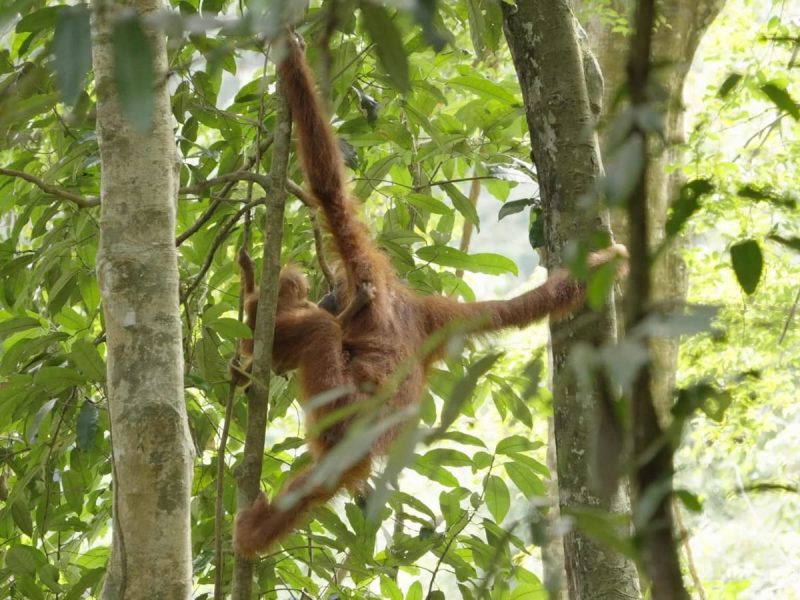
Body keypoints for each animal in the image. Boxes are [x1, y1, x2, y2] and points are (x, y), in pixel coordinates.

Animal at [233, 33, 629, 558]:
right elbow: (510, 309)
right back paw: (256, 528)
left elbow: (329, 188)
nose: (328, 301)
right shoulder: (438, 315)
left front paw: (292, 60)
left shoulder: (365, 267)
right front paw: (607, 262)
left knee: (320, 344)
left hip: (338, 411)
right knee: (322, 480)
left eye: (331, 292)